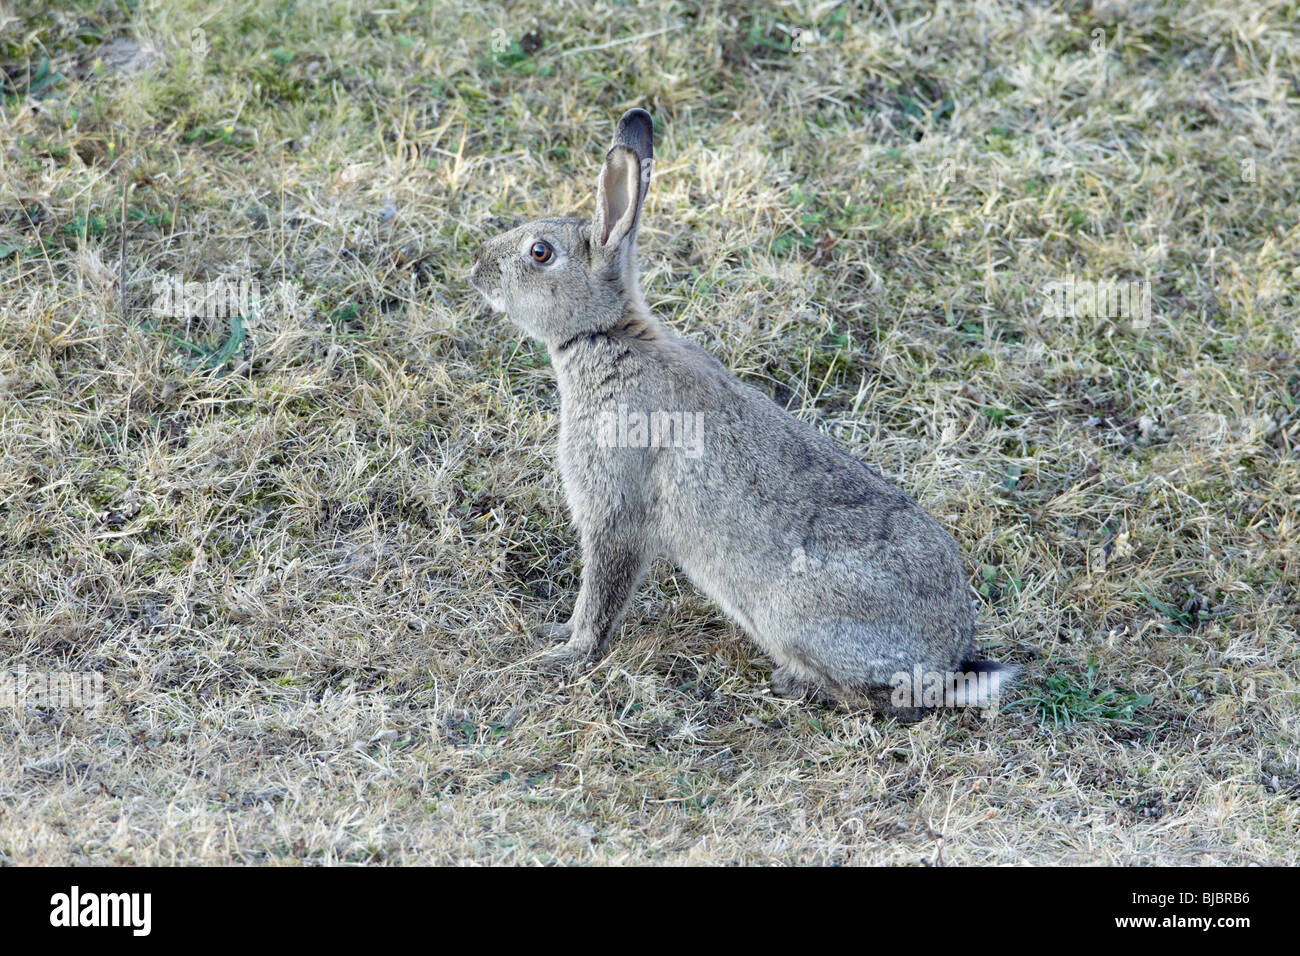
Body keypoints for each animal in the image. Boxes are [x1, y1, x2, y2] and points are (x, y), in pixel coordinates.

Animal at [467, 108, 1013, 712]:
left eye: (540, 252)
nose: (477, 265)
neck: (605, 335)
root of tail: (947, 664)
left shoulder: (614, 508)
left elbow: (603, 591)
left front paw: (567, 653)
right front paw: (558, 635)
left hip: (793, 617)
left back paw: (795, 682)